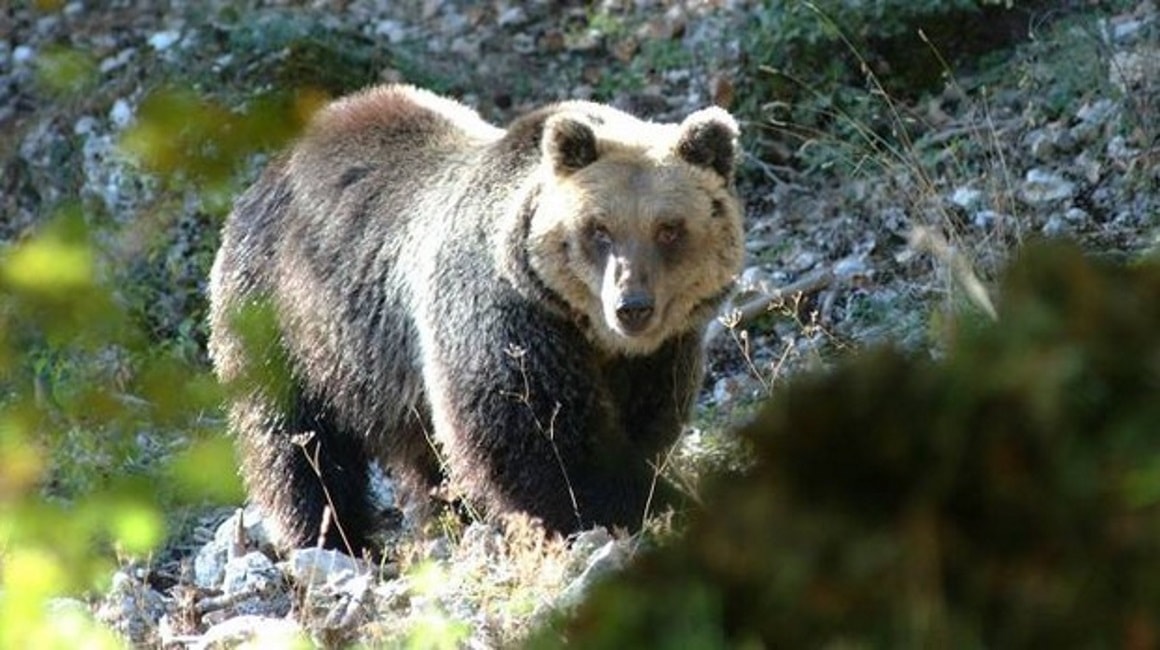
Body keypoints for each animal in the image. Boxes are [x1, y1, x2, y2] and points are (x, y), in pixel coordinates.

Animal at [207, 84, 744, 553]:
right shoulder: (504, 316)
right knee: (295, 441)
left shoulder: (660, 354)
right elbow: (540, 440)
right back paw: (334, 537)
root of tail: (271, 168)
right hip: (286, 320)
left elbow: (645, 423)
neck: (591, 334)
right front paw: (650, 506)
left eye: (669, 229)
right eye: (598, 229)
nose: (632, 306)